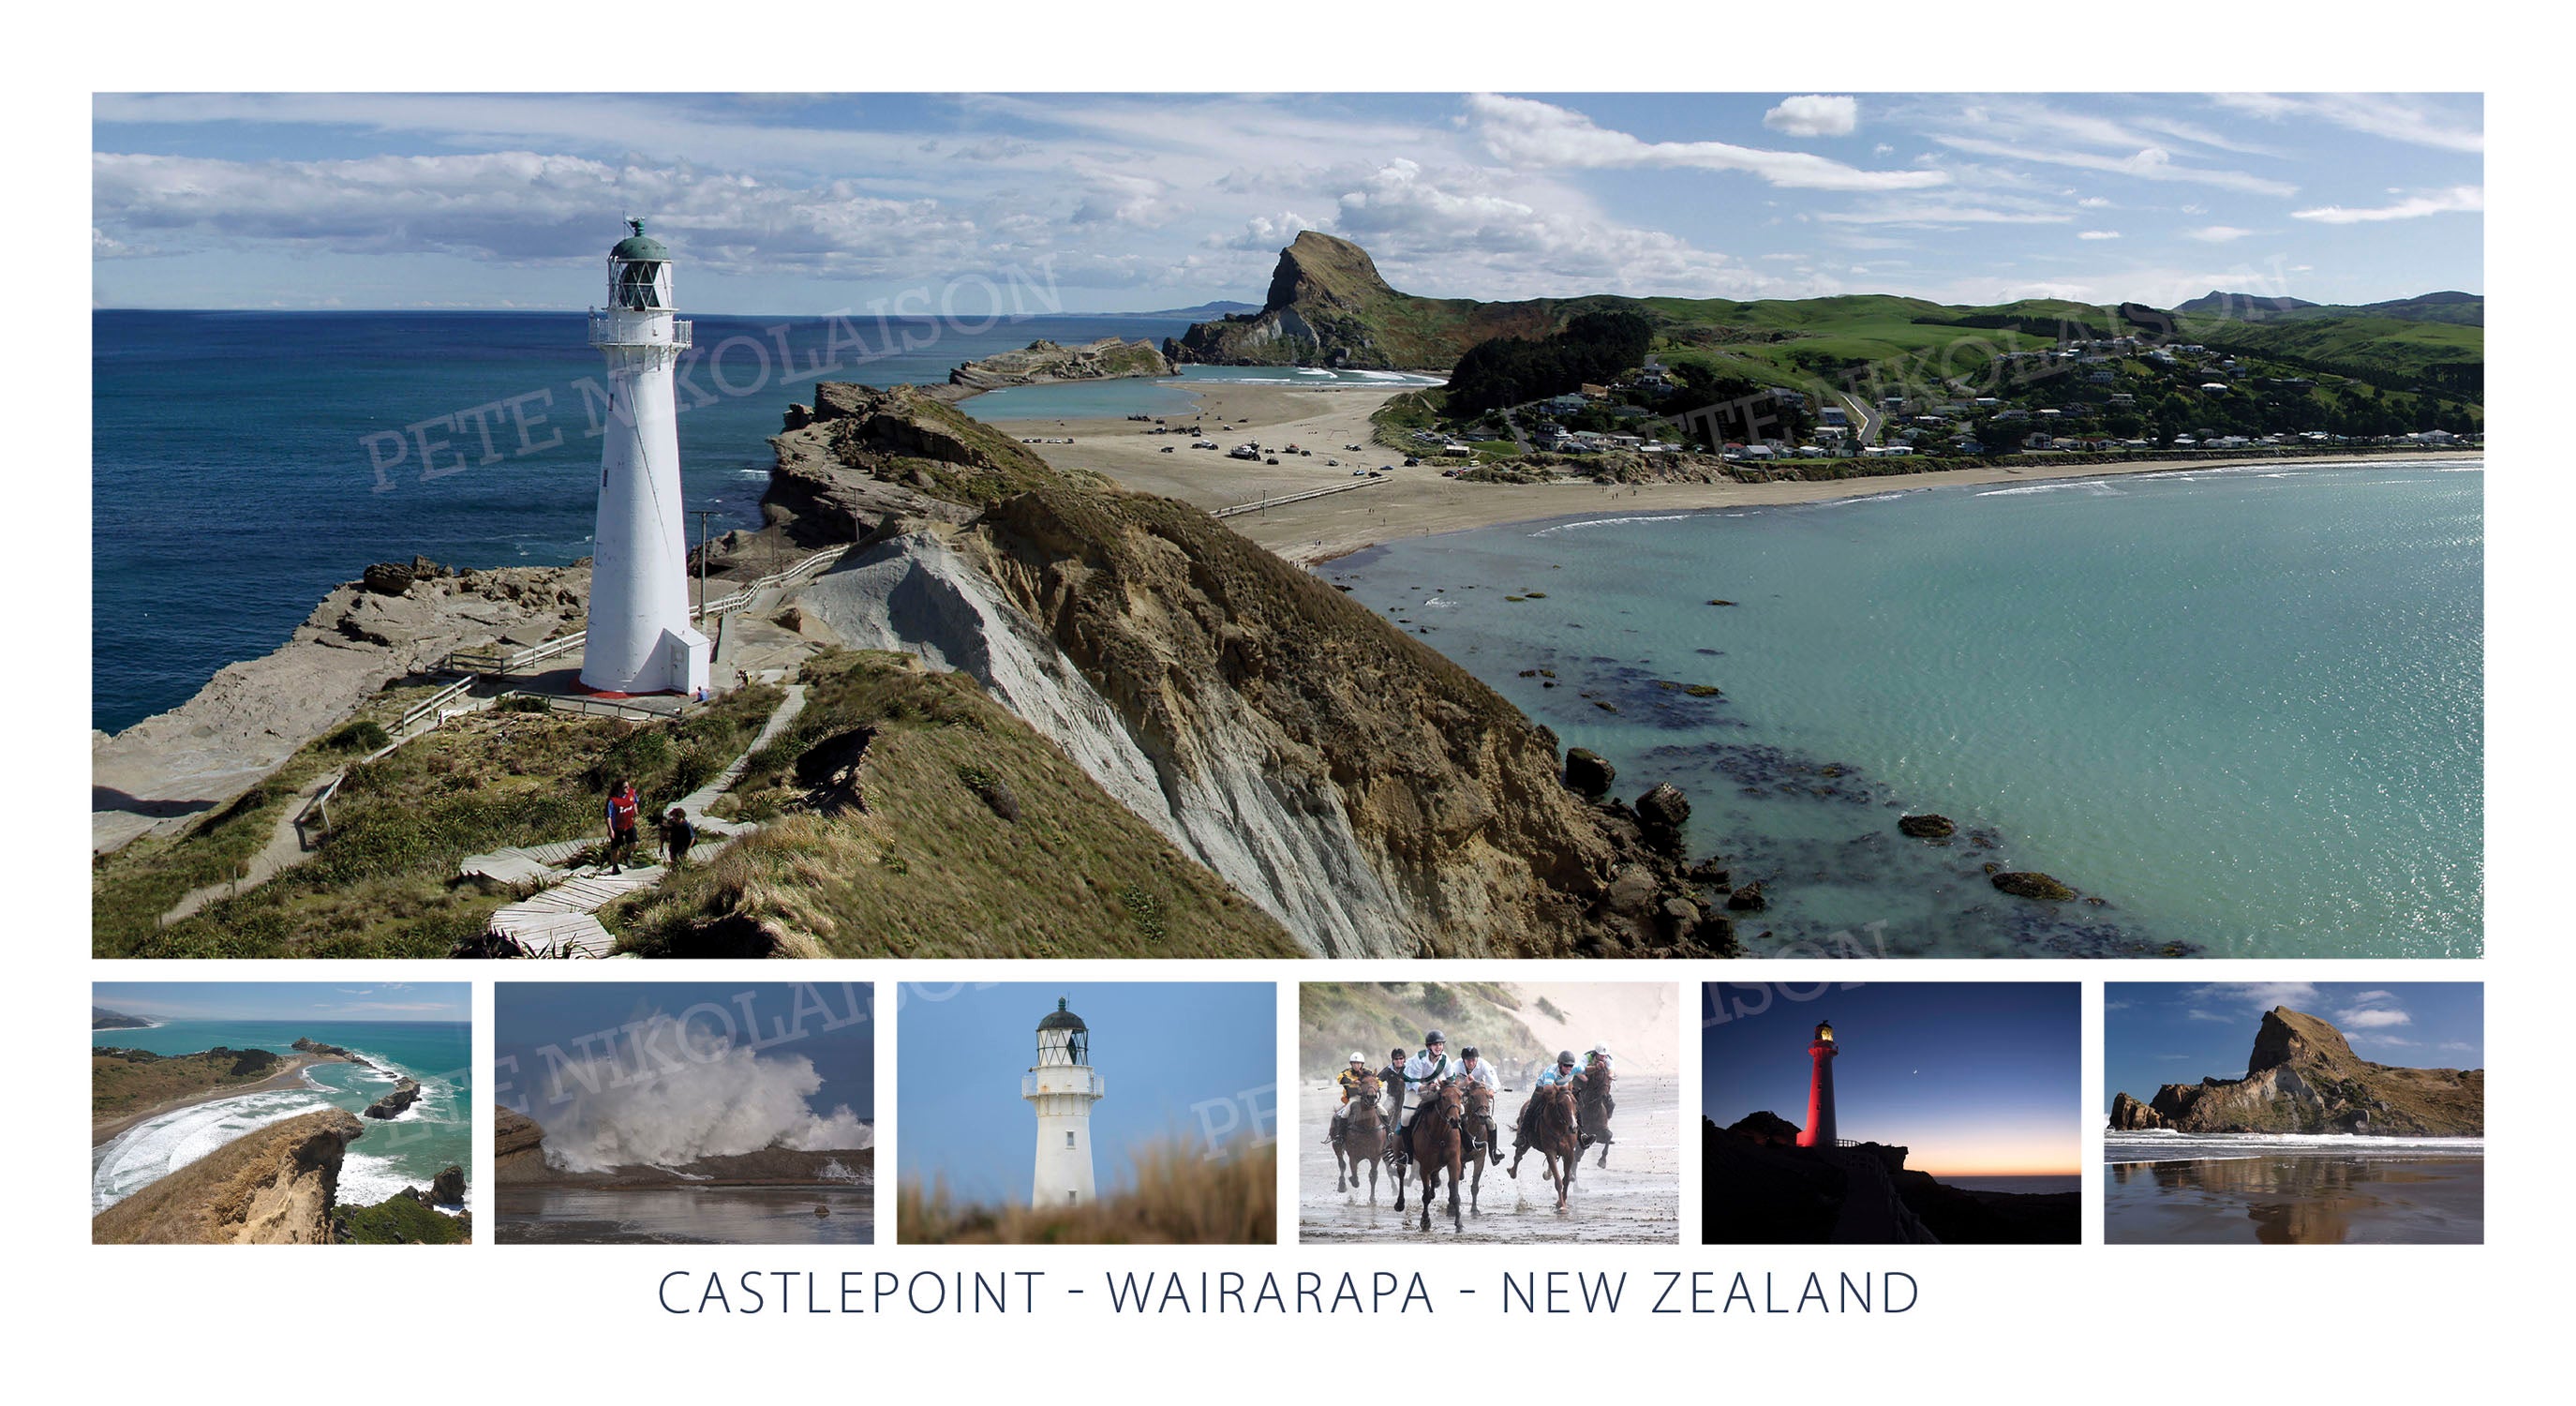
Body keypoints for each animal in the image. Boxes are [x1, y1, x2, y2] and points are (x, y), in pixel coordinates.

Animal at [1339, 1066, 1380, 1200]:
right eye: (1362, 1082)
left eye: (1376, 1082)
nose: (1372, 1097)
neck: (1367, 1126)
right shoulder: (1353, 1155)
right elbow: (1355, 1177)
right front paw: (1352, 1180)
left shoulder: (1375, 1157)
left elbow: (1373, 1176)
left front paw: (1372, 1198)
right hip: (1337, 1146)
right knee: (1341, 1164)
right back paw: (1341, 1185)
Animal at [1401, 1070, 1463, 1225]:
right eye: (1444, 1097)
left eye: (1460, 1096)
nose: (1454, 1120)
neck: (1440, 1135)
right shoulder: (1424, 1167)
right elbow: (1426, 1196)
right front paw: (1425, 1220)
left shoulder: (1454, 1163)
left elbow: (1455, 1195)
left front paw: (1459, 1223)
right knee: (1401, 1174)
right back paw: (1399, 1203)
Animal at [1514, 1070, 1576, 1204]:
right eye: (1561, 1104)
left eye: (1575, 1102)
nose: (1573, 1127)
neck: (1560, 1127)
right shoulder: (1550, 1151)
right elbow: (1558, 1181)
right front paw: (1562, 1204)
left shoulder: (1569, 1153)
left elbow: (1566, 1179)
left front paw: (1562, 1201)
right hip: (1526, 1141)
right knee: (1518, 1155)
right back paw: (1512, 1172)